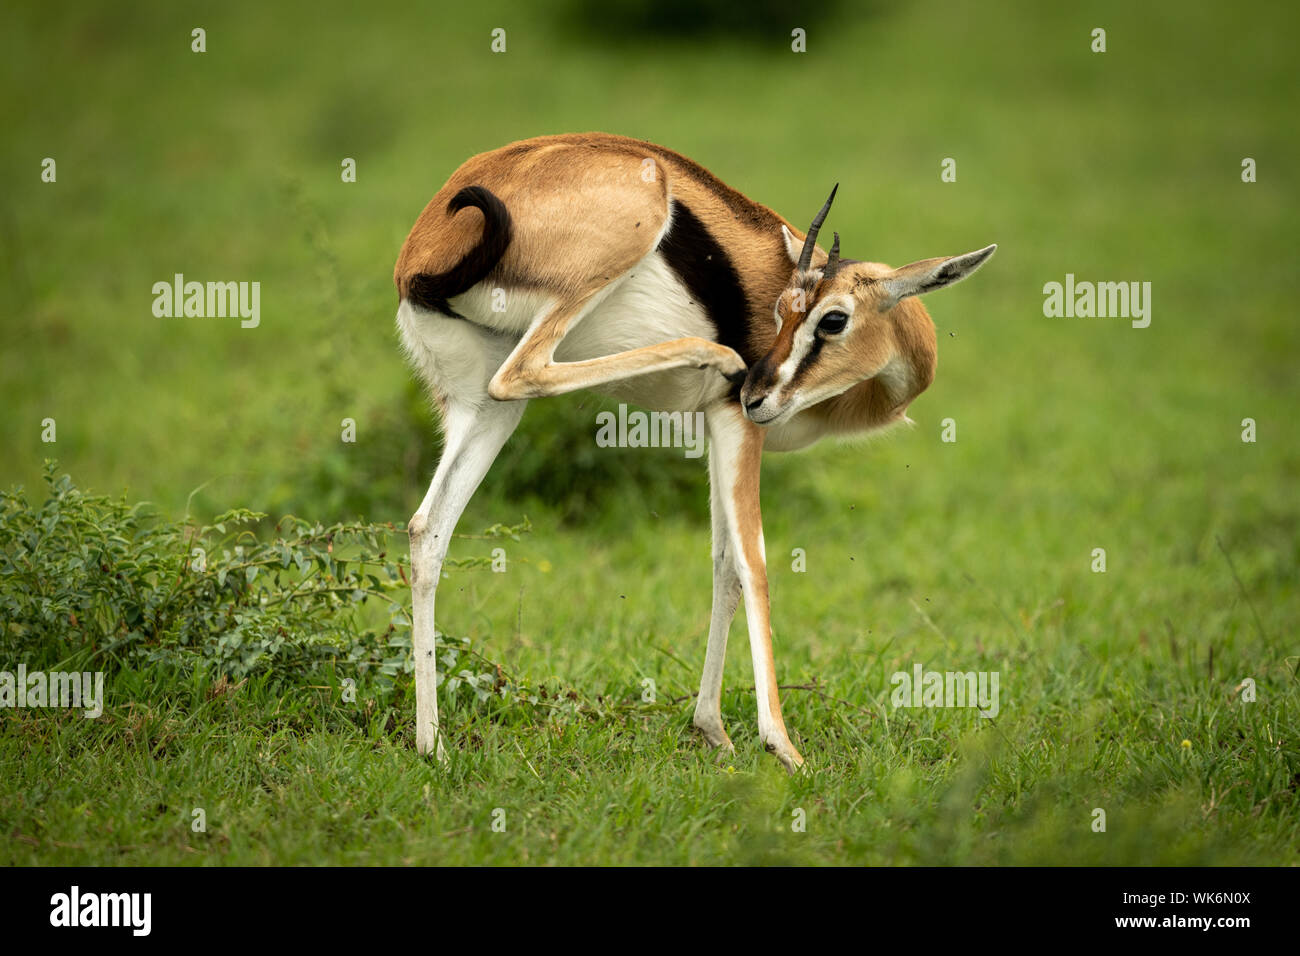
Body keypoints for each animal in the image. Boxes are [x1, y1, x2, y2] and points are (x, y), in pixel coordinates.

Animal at [394, 133, 995, 771]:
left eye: (832, 319)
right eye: (782, 311)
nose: (758, 389)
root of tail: (423, 250)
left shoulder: (716, 427)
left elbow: (723, 568)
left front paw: (712, 731)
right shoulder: (737, 423)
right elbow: (752, 566)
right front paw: (783, 748)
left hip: (481, 410)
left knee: (428, 528)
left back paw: (433, 746)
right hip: (602, 267)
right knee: (525, 373)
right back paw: (716, 354)